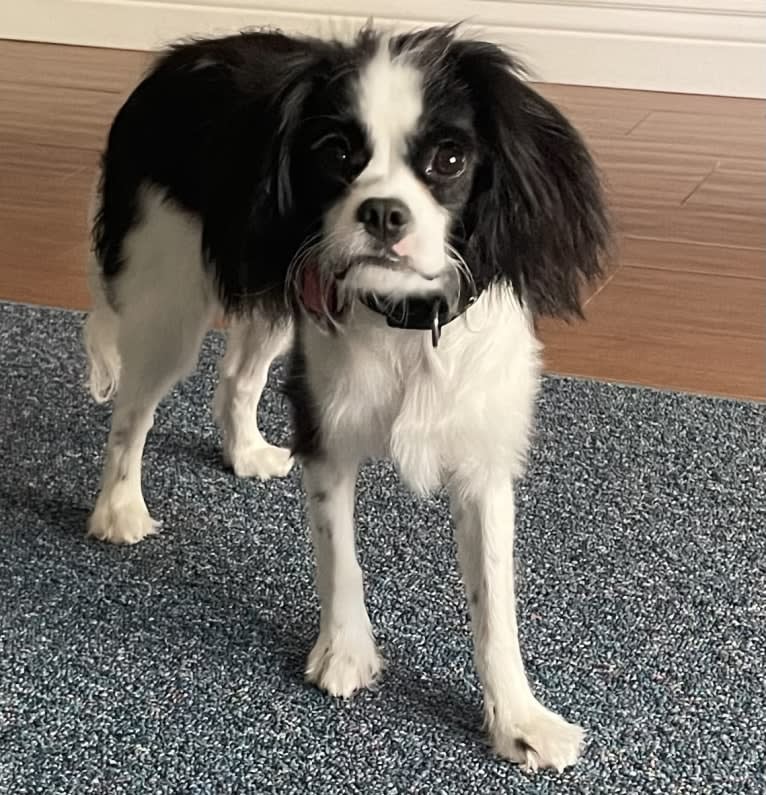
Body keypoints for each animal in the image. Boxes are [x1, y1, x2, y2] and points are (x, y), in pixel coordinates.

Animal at [82, 23, 612, 772]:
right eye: (336, 153)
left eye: (450, 158)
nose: (383, 213)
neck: (406, 319)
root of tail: (178, 59)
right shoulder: (328, 433)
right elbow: (339, 556)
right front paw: (344, 654)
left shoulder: (482, 463)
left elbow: (494, 603)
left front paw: (518, 719)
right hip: (169, 299)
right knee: (132, 412)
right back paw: (119, 509)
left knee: (236, 376)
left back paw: (245, 452)